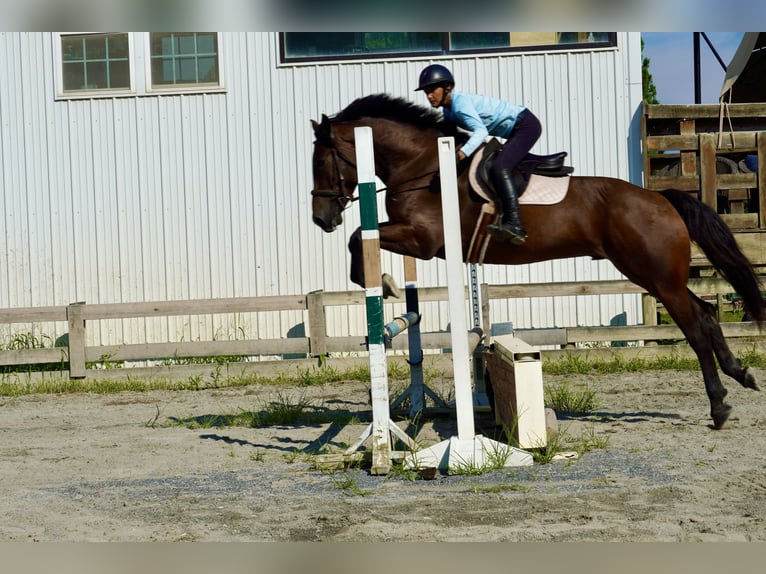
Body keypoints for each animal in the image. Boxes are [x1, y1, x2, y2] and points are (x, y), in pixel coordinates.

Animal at [309, 93, 765, 430]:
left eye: (321, 162)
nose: (321, 219)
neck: (423, 168)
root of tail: (661, 198)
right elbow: (359, 237)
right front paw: (380, 282)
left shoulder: (423, 240)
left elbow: (358, 237)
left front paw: (378, 281)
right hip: (654, 276)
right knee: (705, 313)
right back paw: (739, 375)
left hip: (657, 277)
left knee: (694, 327)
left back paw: (719, 406)